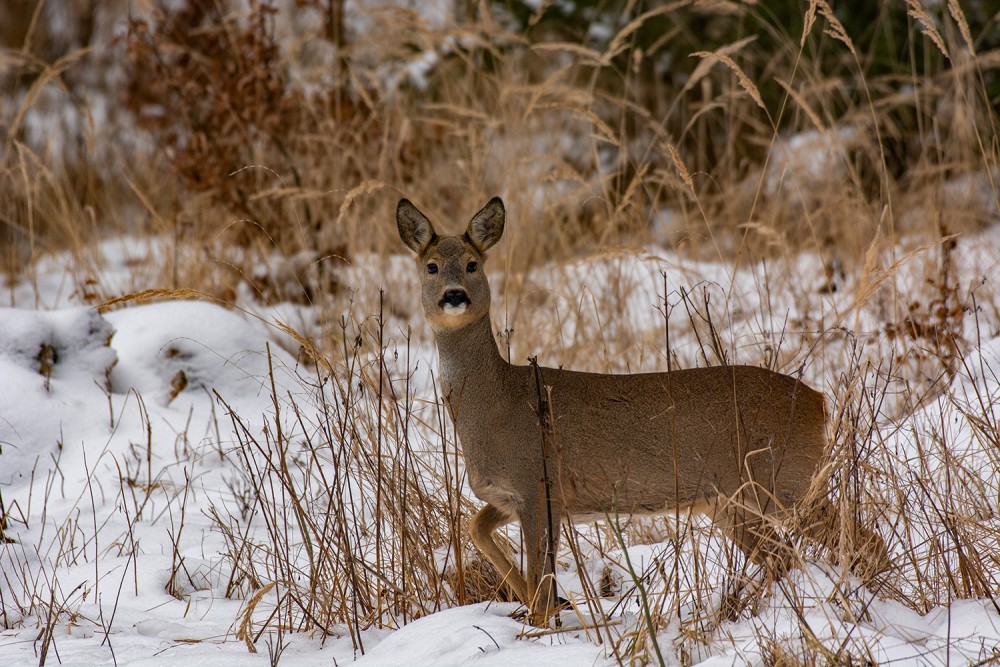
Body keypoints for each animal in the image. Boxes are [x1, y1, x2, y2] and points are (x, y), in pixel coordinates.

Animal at [394, 196, 888, 624]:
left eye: (473, 264)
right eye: (431, 266)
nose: (453, 295)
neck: (497, 403)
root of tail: (819, 402)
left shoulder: (539, 483)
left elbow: (540, 574)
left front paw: (542, 620)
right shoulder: (508, 494)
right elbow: (477, 529)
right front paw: (547, 603)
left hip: (783, 477)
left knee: (861, 540)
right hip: (731, 500)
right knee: (783, 557)